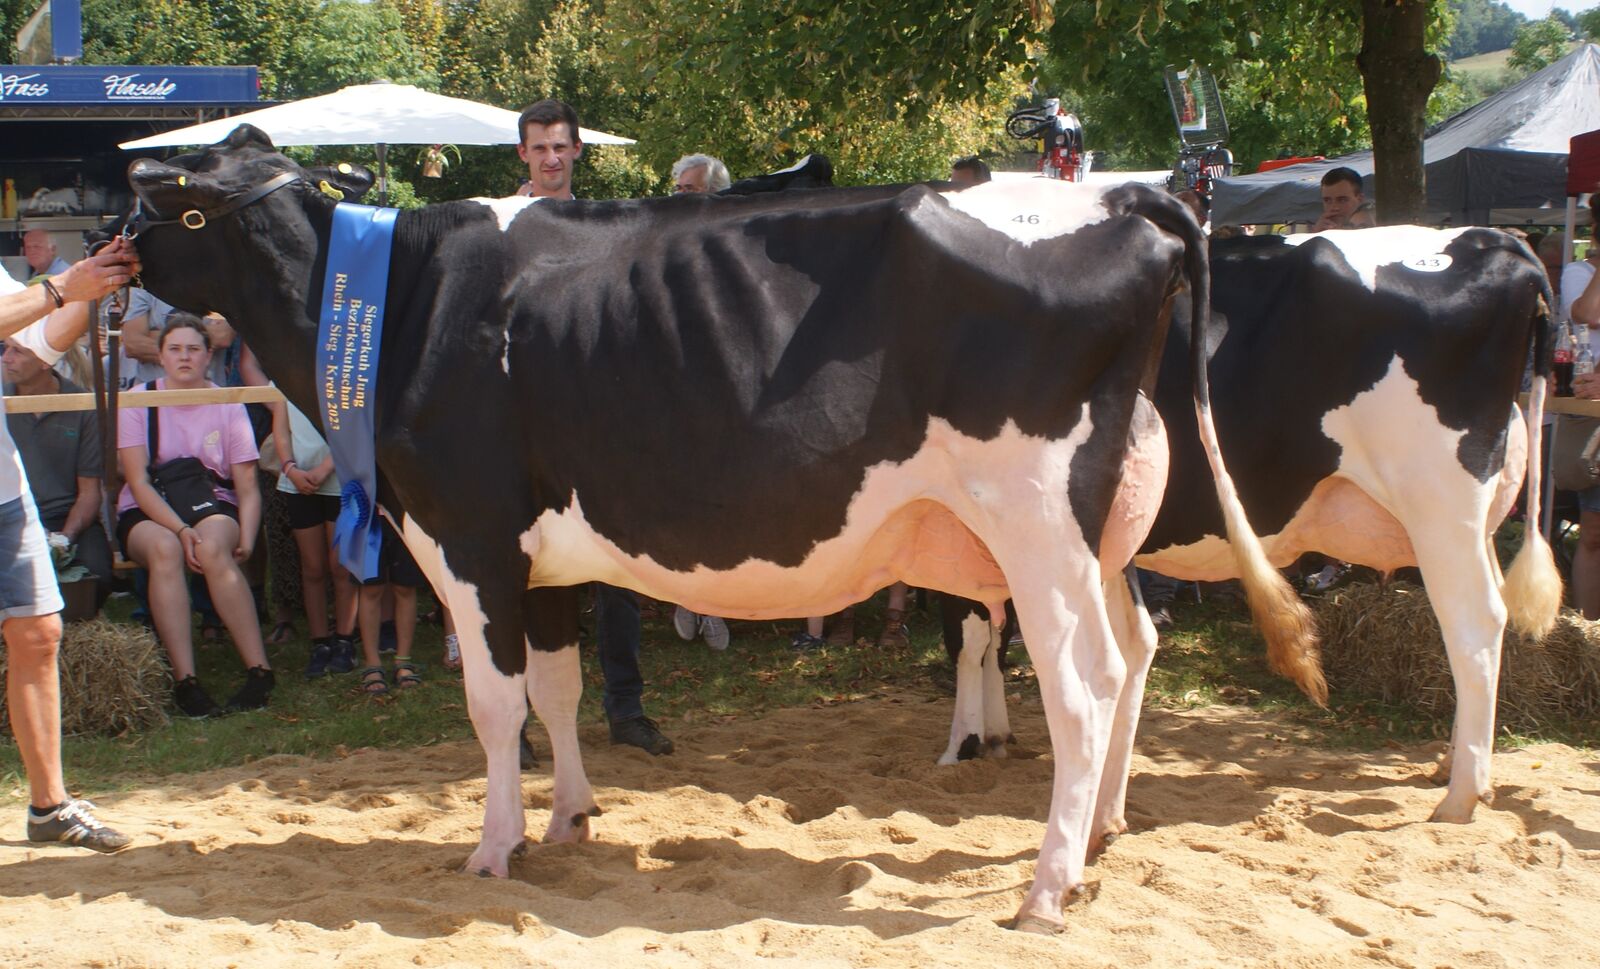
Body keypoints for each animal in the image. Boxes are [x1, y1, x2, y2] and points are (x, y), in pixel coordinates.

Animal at [109, 127, 1312, 933]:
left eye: (165, 199)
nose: (108, 268)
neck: (405, 304)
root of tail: (1133, 201)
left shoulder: (469, 540)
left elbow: (495, 706)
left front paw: (495, 847)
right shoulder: (546, 560)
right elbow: (558, 690)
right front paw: (571, 822)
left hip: (1037, 524)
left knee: (1084, 685)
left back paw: (1047, 886)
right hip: (1104, 526)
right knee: (1136, 654)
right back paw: (1101, 837)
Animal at [940, 225, 1555, 837]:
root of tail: (1494, 240)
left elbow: (971, 635)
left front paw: (961, 745)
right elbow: (1003, 634)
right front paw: (995, 735)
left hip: (1440, 504)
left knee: (1475, 623)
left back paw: (1460, 795)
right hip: (1476, 519)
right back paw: (1454, 763)